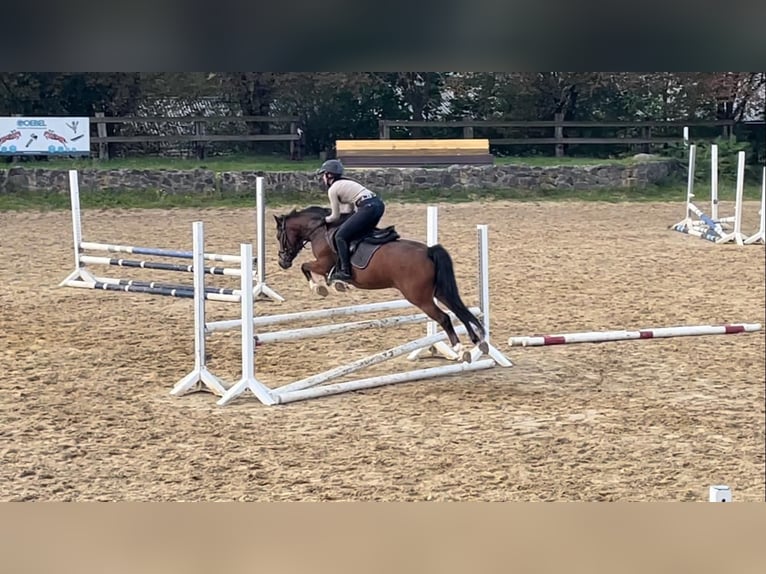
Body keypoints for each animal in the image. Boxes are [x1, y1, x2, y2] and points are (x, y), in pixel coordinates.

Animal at [280, 205, 488, 362]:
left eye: (279, 236)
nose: (283, 262)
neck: (319, 230)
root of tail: (428, 251)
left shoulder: (322, 263)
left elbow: (305, 267)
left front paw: (319, 287)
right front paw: (334, 284)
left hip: (419, 298)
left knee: (444, 317)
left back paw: (459, 349)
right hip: (439, 292)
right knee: (459, 310)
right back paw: (478, 342)